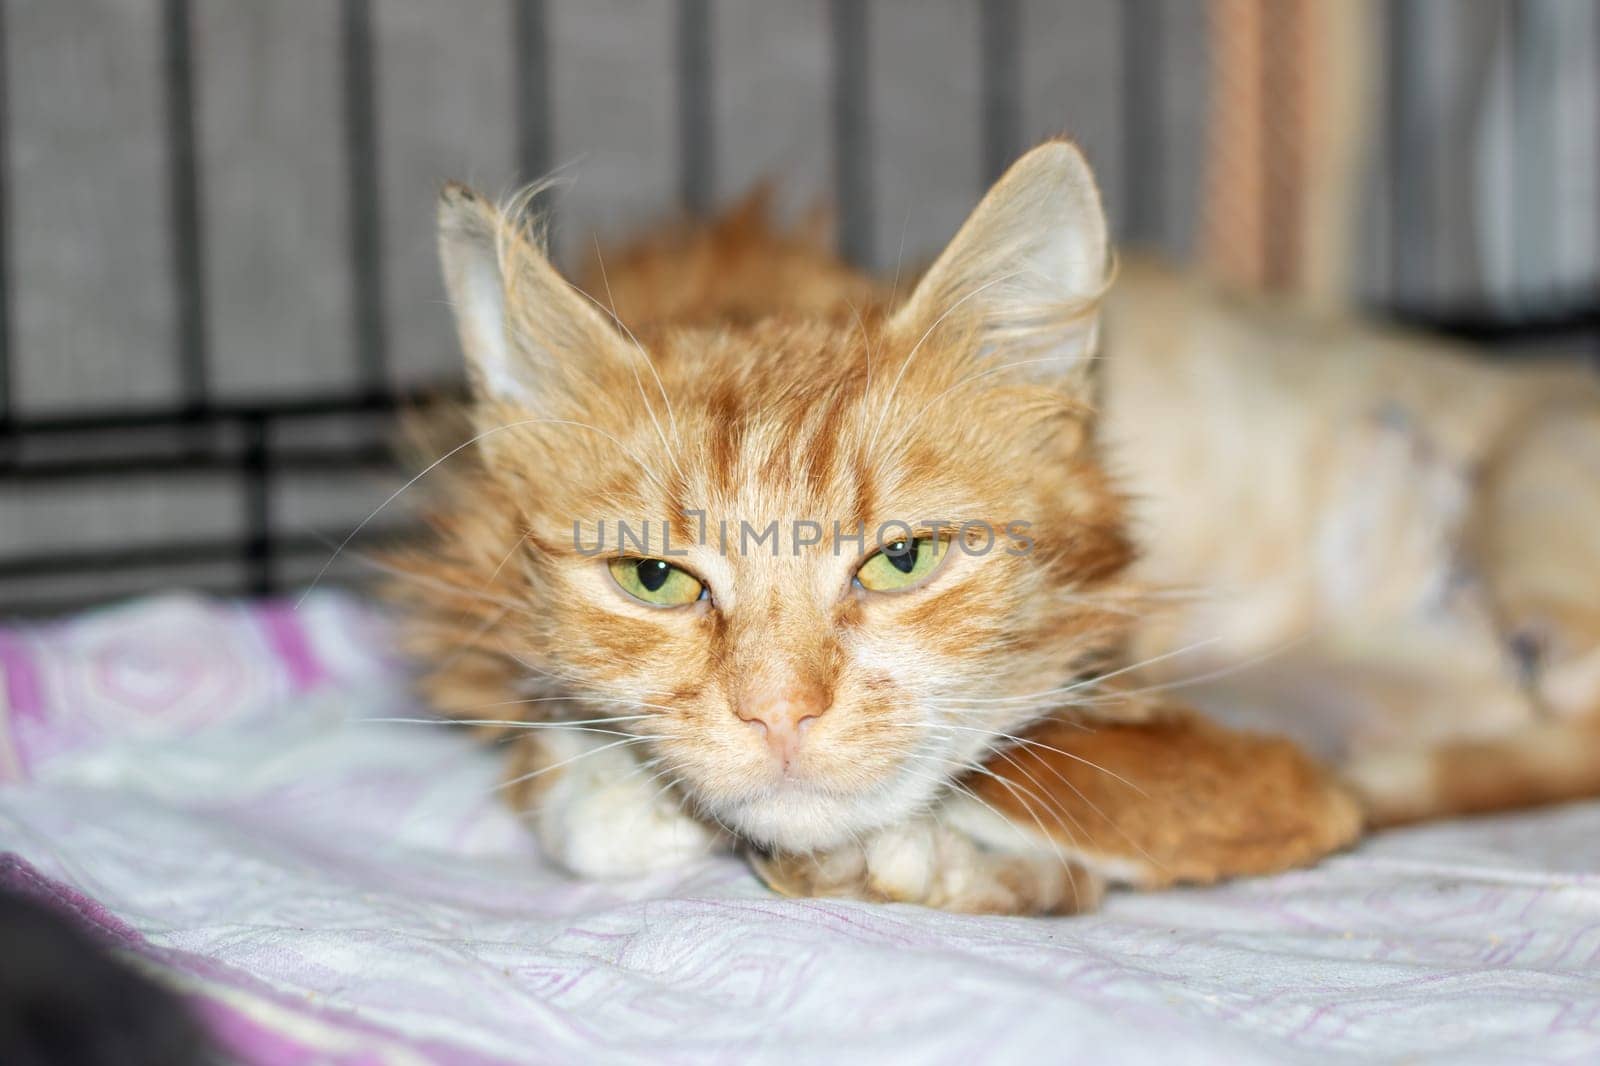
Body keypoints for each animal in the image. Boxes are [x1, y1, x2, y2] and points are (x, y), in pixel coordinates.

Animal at [390, 140, 1600, 915]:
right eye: (655, 579)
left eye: (903, 559)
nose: (777, 715)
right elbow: (590, 800)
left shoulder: (1257, 770)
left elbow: (1036, 784)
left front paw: (946, 860)